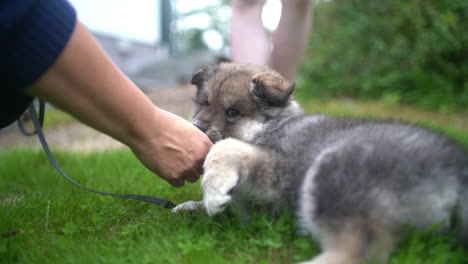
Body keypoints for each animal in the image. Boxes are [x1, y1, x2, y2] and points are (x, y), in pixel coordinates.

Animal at [173, 63, 468, 262]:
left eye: (232, 113)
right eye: (204, 104)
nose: (197, 127)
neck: (269, 128)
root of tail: (455, 164)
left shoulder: (275, 172)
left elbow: (224, 147)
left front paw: (212, 192)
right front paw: (190, 206)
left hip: (334, 173)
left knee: (358, 251)